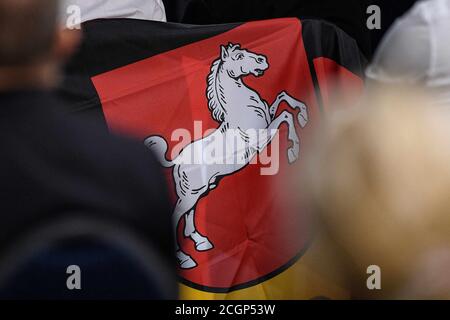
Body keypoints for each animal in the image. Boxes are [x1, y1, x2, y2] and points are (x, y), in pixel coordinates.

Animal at [146, 42, 308, 268]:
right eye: (238, 56)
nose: (263, 60)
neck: (243, 109)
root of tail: (177, 161)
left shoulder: (269, 115)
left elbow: (282, 97)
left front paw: (303, 114)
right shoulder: (261, 139)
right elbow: (285, 117)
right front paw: (293, 151)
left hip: (199, 191)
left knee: (189, 216)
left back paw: (202, 242)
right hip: (190, 194)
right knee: (176, 216)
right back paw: (184, 259)